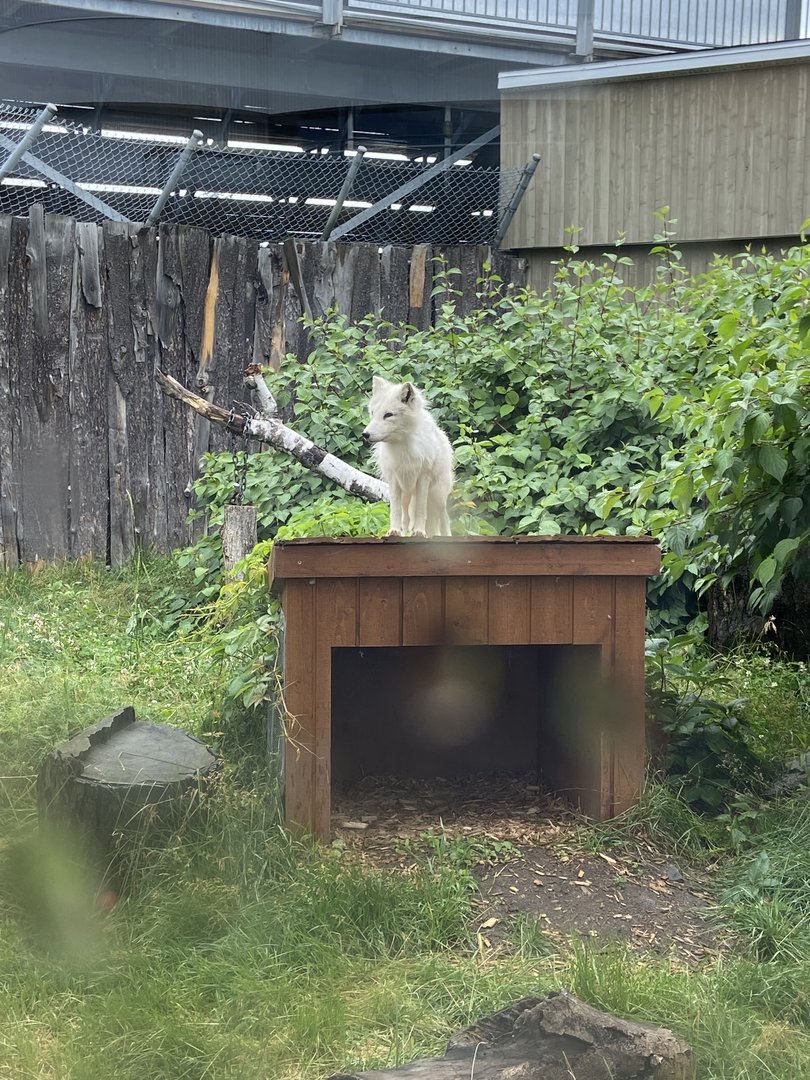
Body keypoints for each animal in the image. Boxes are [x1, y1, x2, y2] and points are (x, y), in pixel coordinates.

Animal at [362, 375, 453, 537]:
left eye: (388, 415)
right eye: (373, 413)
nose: (365, 434)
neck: (402, 448)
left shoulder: (423, 478)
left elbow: (420, 510)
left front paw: (419, 532)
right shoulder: (394, 480)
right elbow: (395, 511)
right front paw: (393, 531)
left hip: (437, 496)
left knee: (444, 518)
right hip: (406, 495)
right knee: (405, 518)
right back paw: (403, 533)